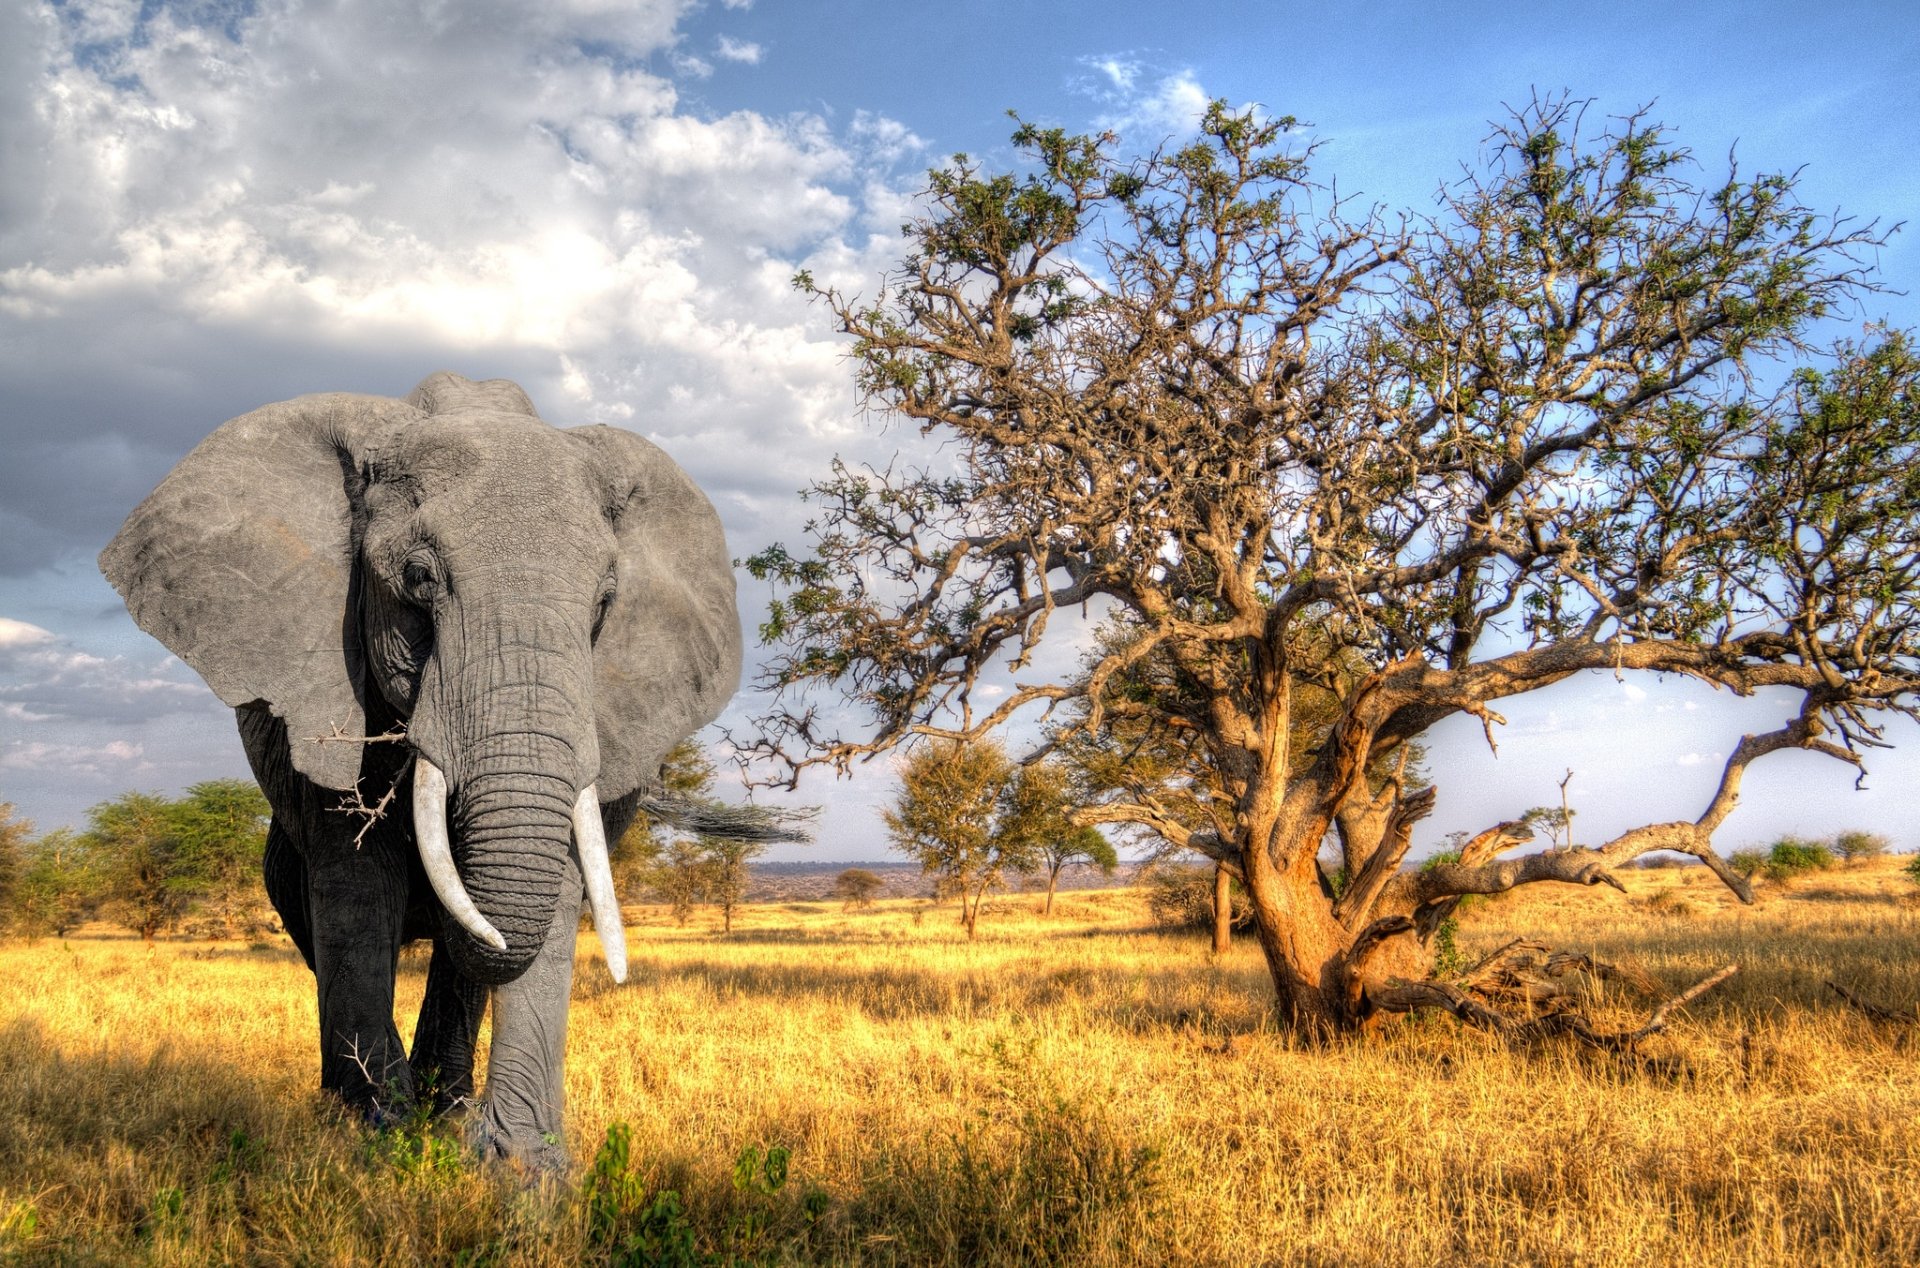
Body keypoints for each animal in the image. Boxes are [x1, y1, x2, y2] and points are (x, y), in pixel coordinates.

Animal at [99, 371, 741, 1170]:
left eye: (604, 603)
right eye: (418, 579)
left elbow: (554, 887)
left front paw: (525, 1172)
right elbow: (356, 883)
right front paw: (374, 1142)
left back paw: (452, 1108)